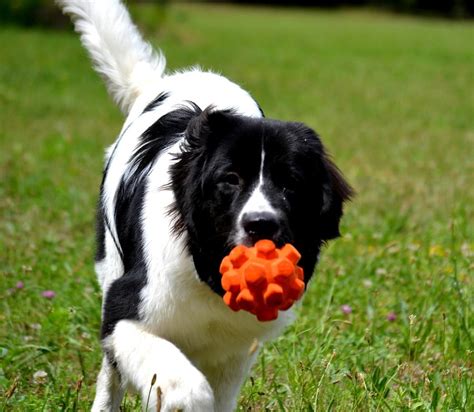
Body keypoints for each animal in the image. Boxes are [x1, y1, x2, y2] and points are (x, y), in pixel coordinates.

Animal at [58, 1, 352, 410]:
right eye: (230, 180)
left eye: (290, 184)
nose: (261, 225)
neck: (206, 265)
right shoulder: (128, 307)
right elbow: (184, 384)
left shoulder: (236, 347)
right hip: (111, 266)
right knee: (111, 373)